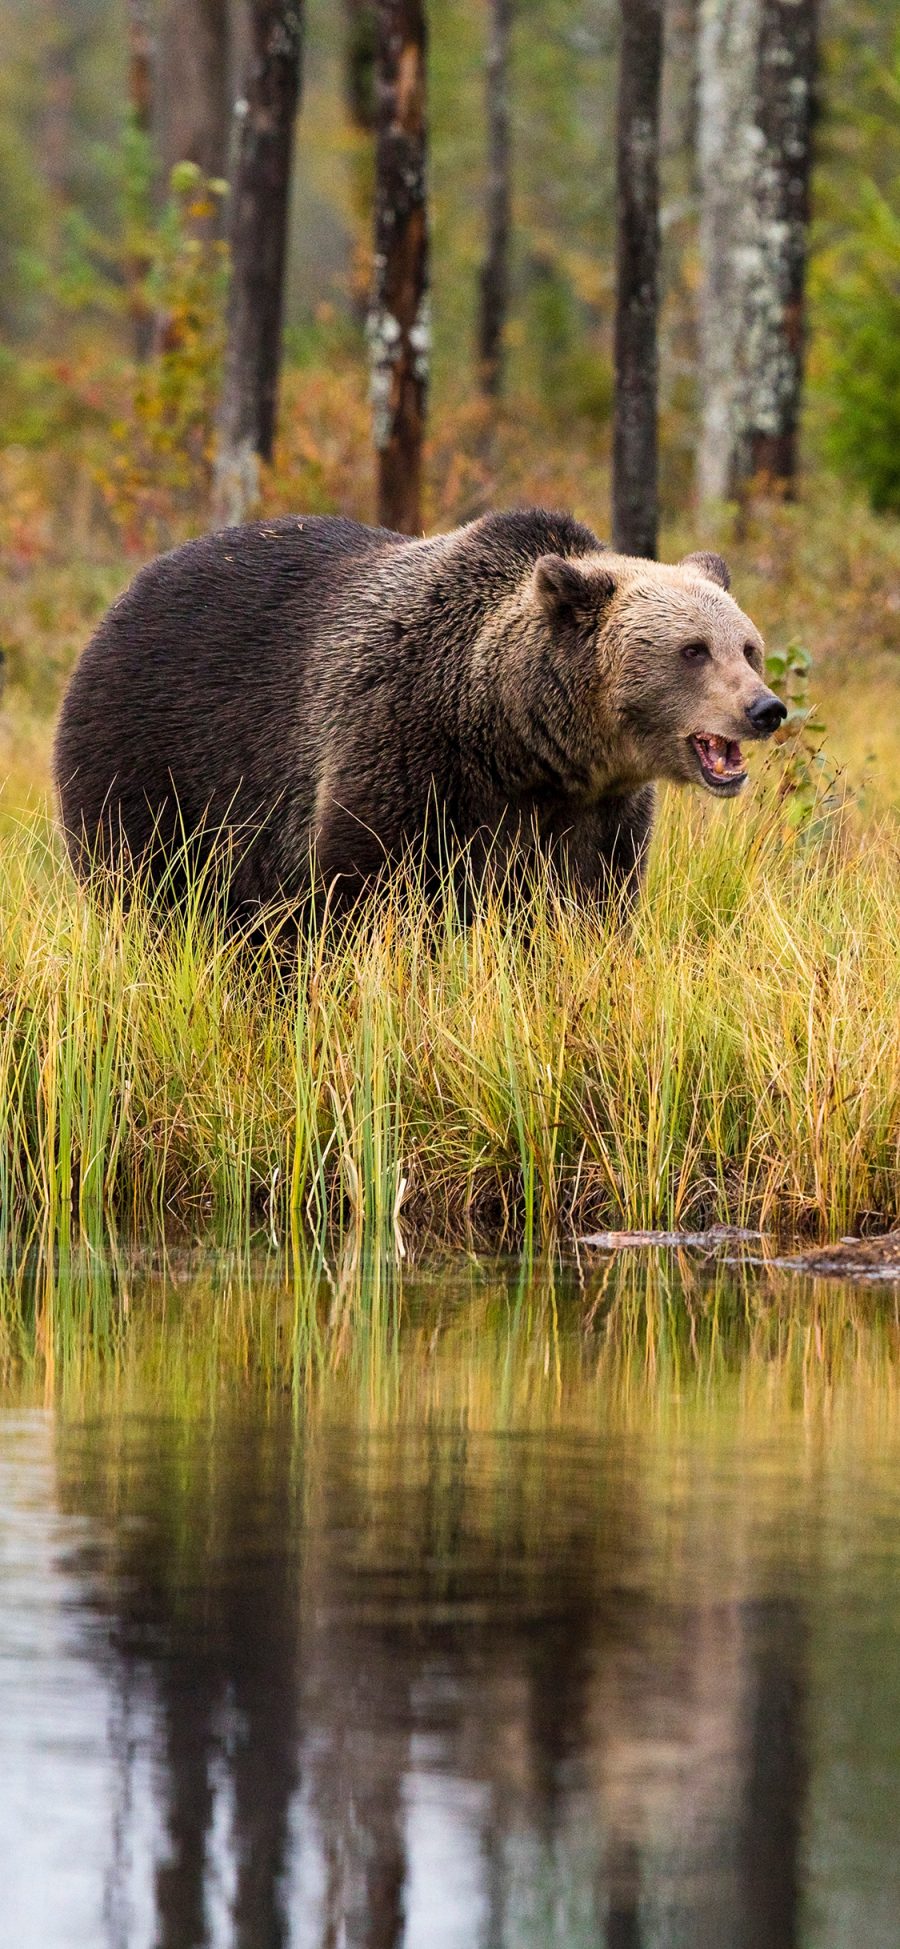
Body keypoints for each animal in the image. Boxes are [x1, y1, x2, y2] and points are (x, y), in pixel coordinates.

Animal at [54, 510, 779, 919]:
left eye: (748, 647)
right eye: (693, 650)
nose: (765, 707)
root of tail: (123, 598)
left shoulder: (594, 814)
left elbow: (587, 904)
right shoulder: (402, 750)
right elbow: (366, 891)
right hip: (155, 763)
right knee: (151, 891)